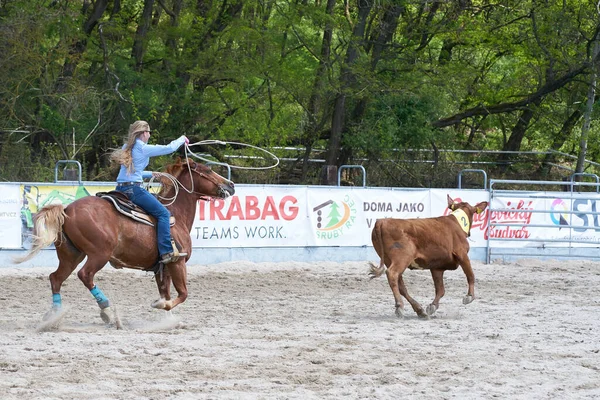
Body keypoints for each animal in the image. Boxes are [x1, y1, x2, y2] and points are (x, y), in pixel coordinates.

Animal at [14, 158, 234, 324]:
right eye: (208, 170)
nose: (231, 185)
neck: (175, 215)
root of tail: (67, 209)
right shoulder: (177, 262)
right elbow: (182, 294)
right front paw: (161, 305)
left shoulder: (162, 268)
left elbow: (166, 292)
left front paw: (168, 320)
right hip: (99, 254)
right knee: (85, 275)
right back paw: (107, 311)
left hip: (71, 255)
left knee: (56, 278)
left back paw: (55, 316)